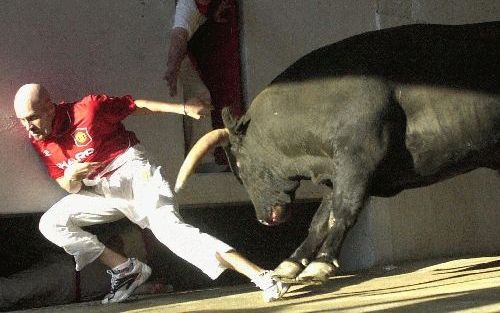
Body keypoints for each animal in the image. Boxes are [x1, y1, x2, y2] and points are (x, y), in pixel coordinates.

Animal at [175, 22, 496, 282]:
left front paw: (322, 264)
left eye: (240, 166)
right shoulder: (335, 171)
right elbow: (319, 221)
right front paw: (291, 264)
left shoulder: (358, 163)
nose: (264, 219)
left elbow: (342, 212)